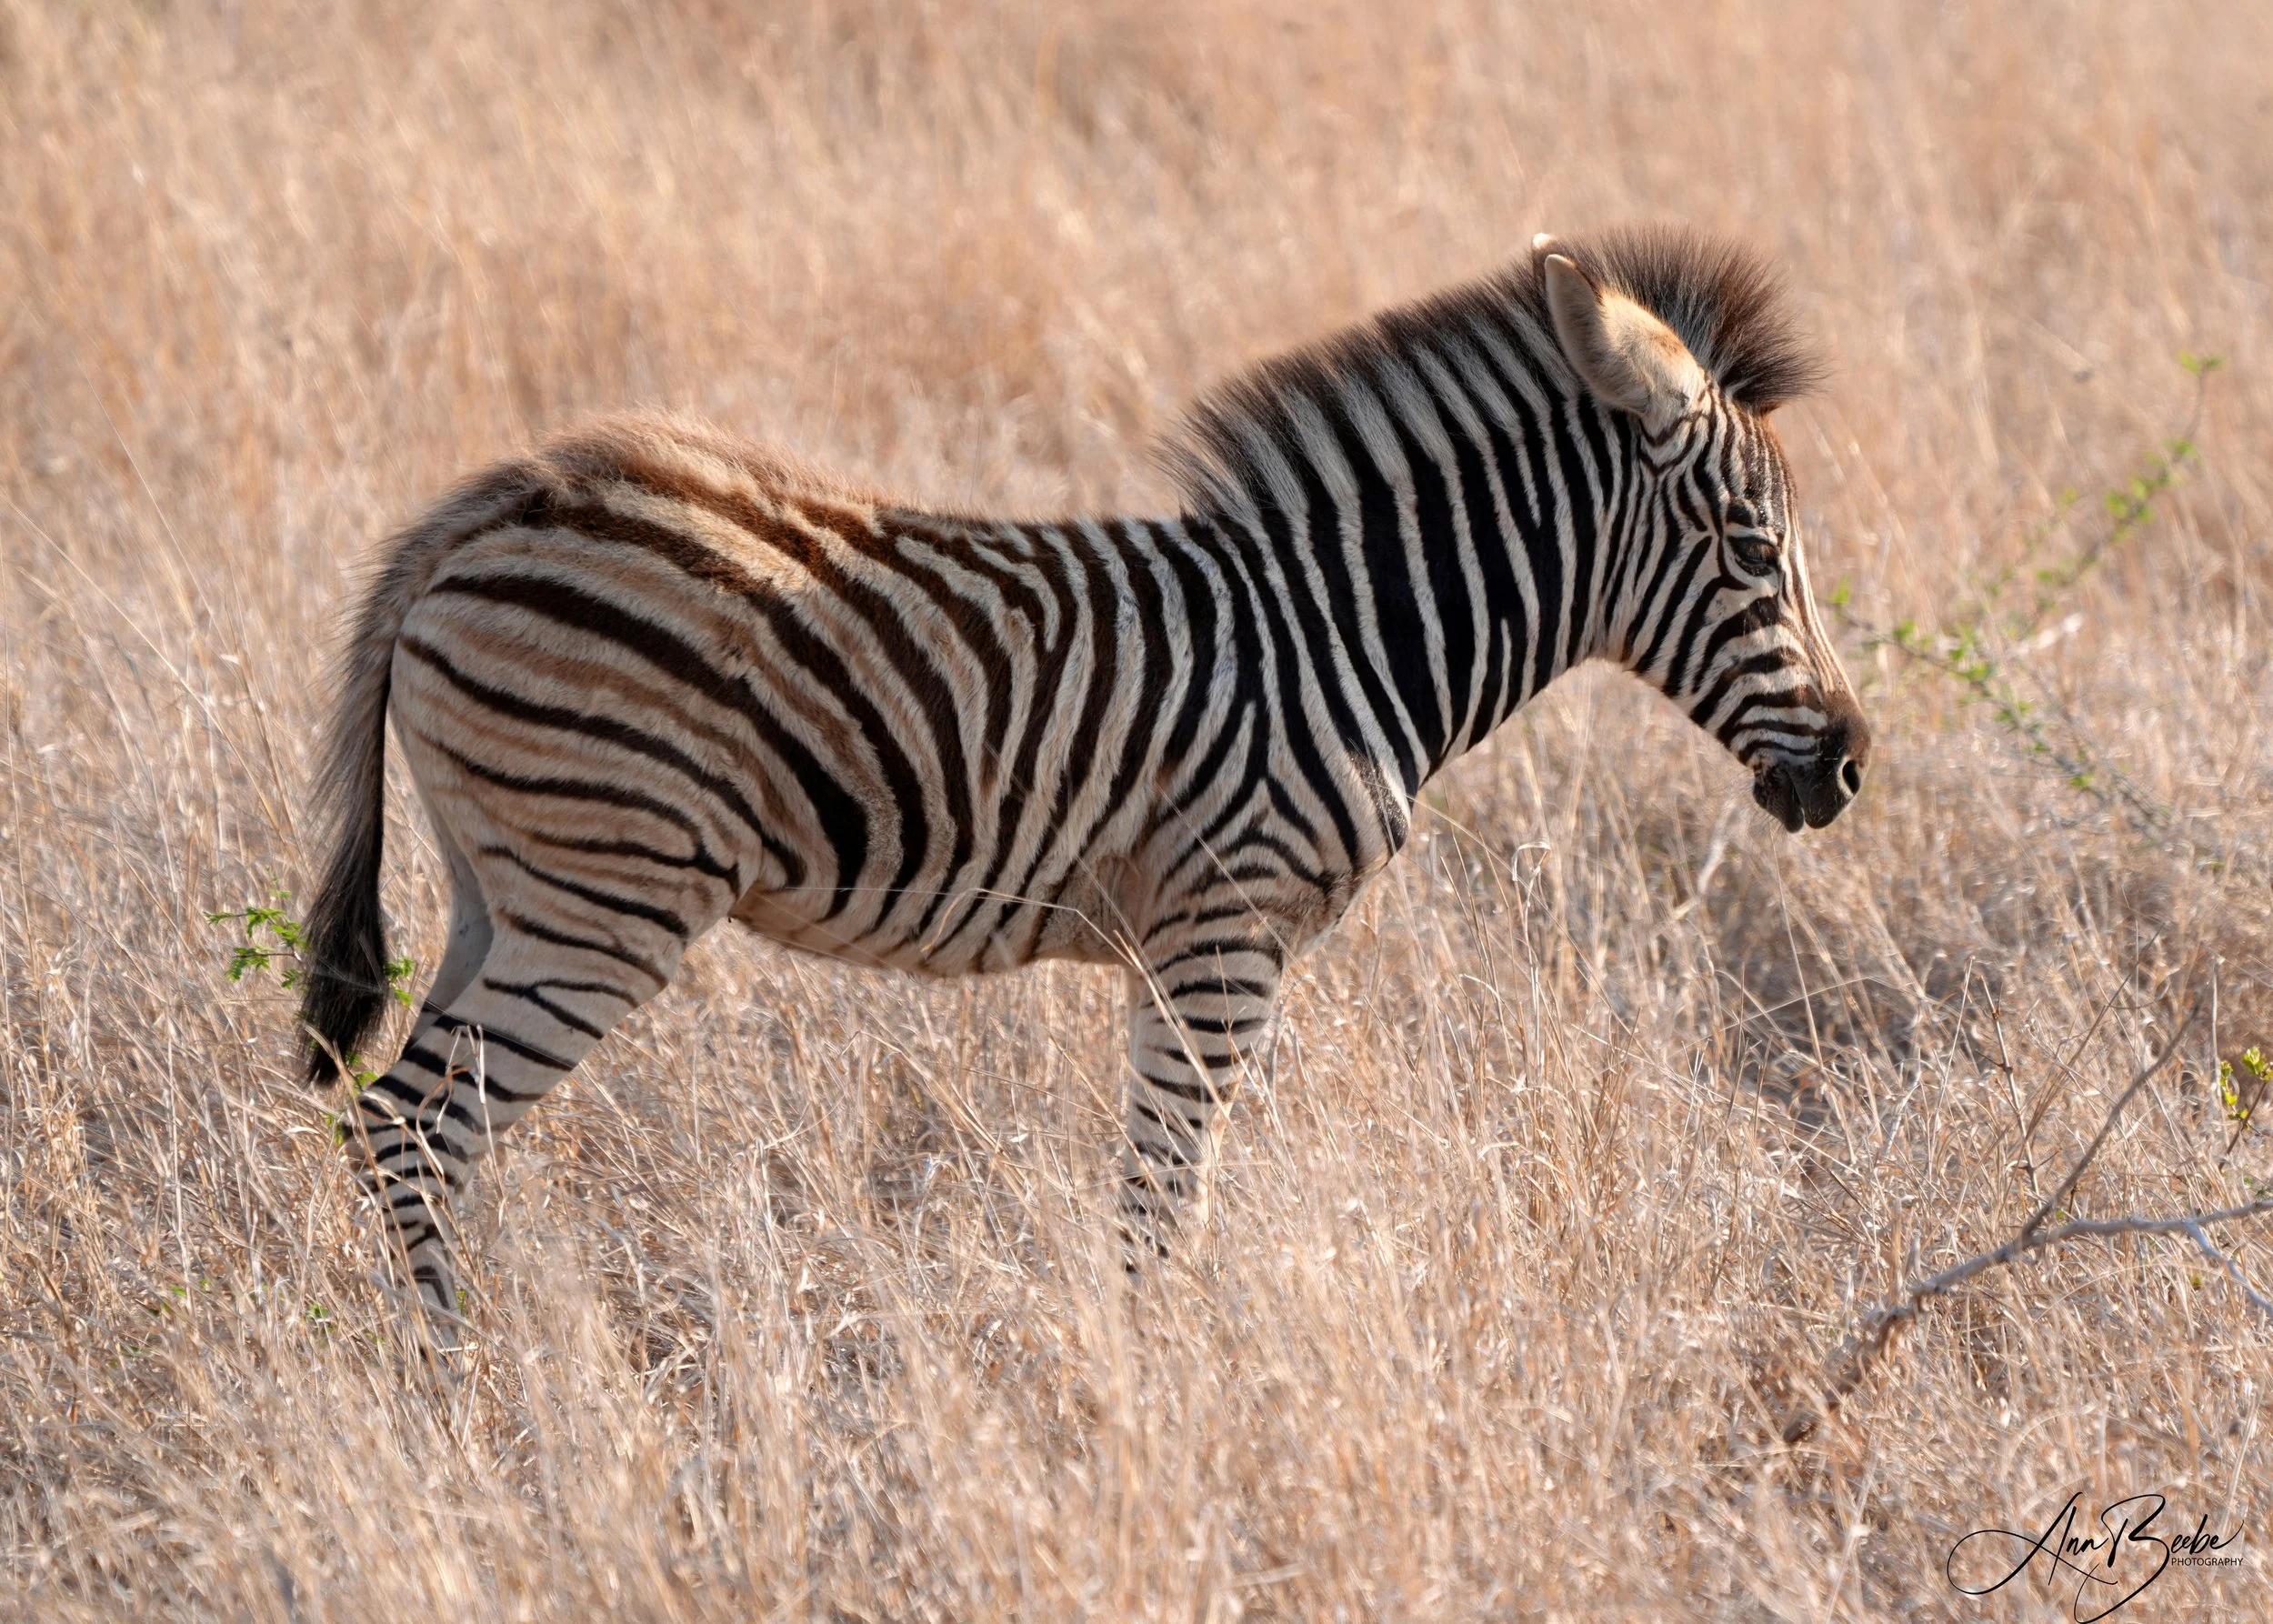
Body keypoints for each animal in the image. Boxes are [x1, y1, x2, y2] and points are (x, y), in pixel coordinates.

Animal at [298, 227, 1870, 1321]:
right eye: (1753, 550)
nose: (1852, 766)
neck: (1344, 638)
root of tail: (497, 498)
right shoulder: (1222, 932)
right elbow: (1162, 1197)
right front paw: (1156, 1381)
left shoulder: (1210, 949)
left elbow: (1183, 1186)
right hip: (602, 899)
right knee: (413, 1129)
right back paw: (465, 1387)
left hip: (504, 885)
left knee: (404, 1127)